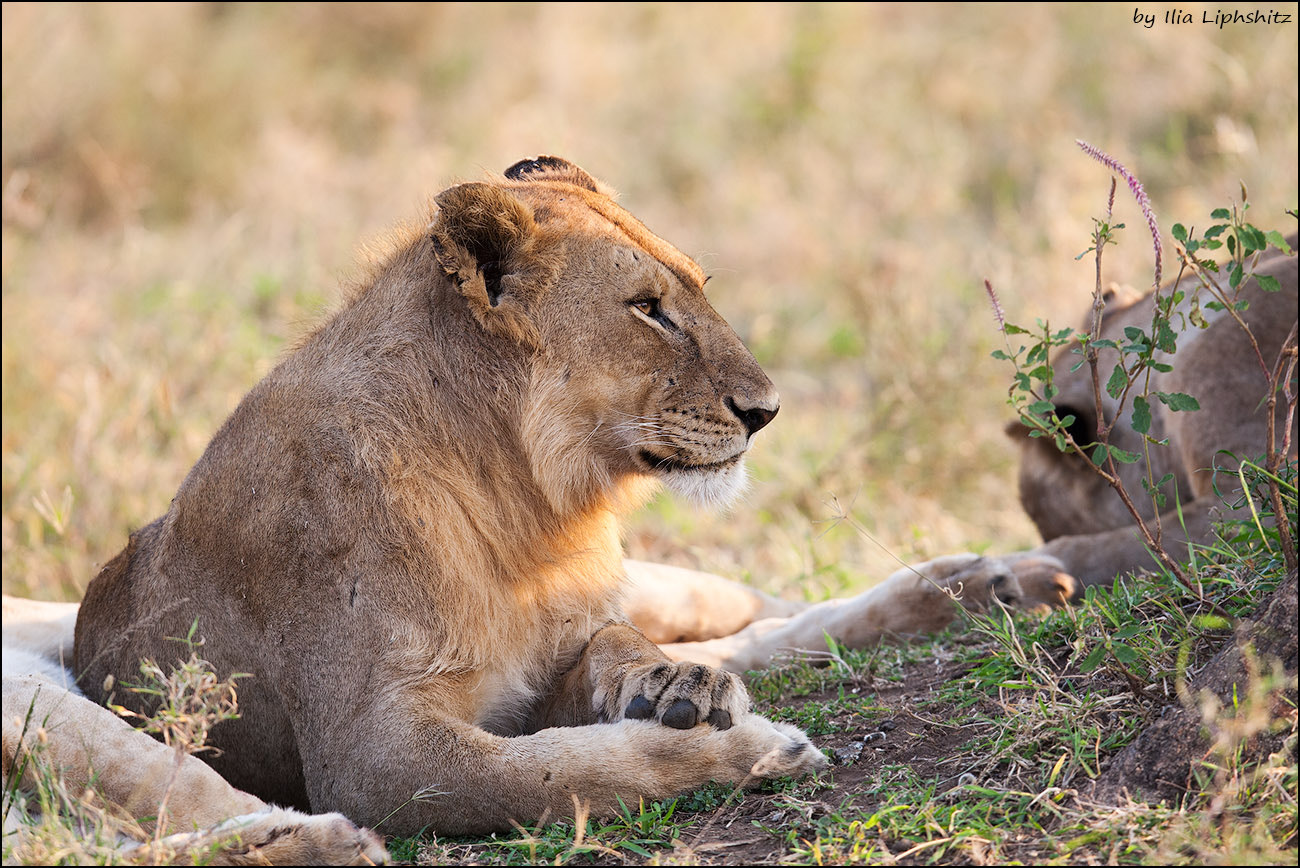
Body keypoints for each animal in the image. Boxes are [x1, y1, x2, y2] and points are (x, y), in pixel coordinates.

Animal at [63, 155, 821, 842]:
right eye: (646, 308)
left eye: (700, 286)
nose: (769, 410)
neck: (522, 504)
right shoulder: (370, 755)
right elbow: (555, 773)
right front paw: (751, 747)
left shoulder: (553, 653)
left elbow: (613, 637)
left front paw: (677, 680)